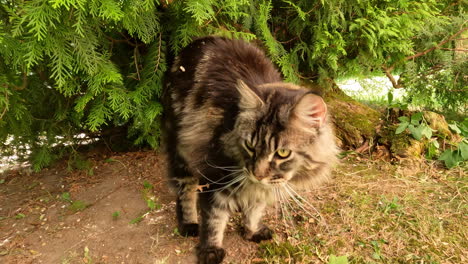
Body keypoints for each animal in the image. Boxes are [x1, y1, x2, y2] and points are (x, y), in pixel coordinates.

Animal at [163, 35, 338, 264]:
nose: (257, 174)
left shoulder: (263, 188)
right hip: (181, 150)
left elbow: (255, 209)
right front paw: (210, 250)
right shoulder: (215, 176)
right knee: (185, 190)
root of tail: (198, 41)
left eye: (282, 153)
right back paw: (188, 223)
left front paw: (251, 231)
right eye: (250, 146)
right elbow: (213, 220)